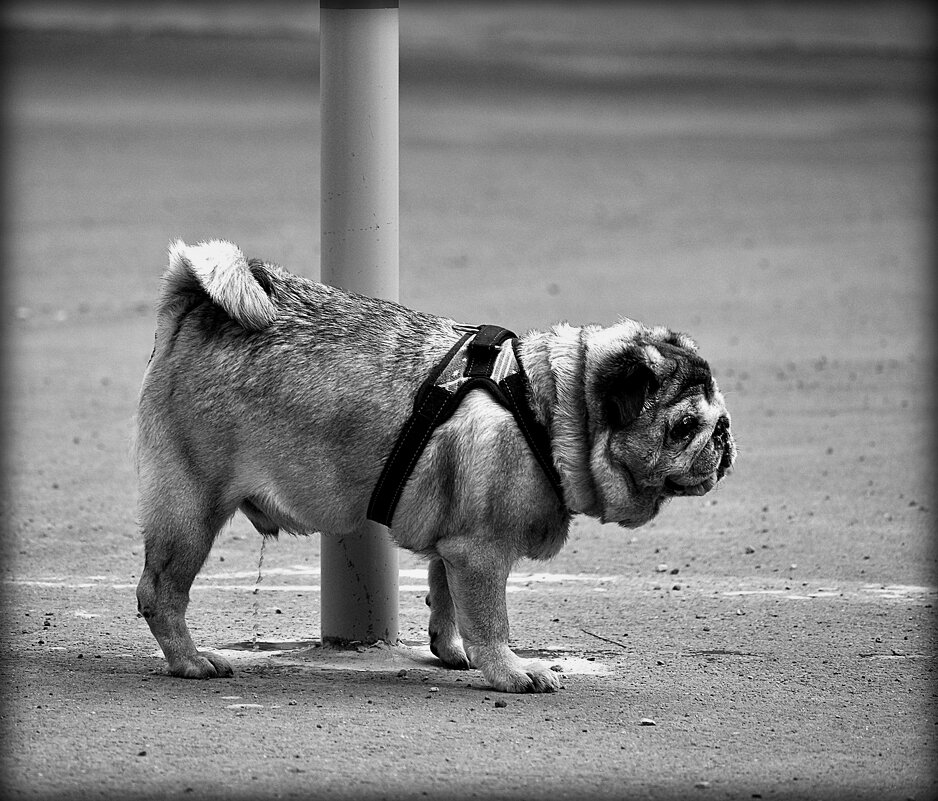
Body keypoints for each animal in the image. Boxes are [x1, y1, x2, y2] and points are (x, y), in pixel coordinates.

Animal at [133, 239, 732, 692]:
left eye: (719, 417)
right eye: (683, 427)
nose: (723, 439)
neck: (549, 405)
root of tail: (196, 300)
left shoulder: (456, 544)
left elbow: (446, 598)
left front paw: (452, 648)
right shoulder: (482, 551)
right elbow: (490, 618)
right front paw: (509, 670)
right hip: (192, 509)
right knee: (160, 593)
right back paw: (190, 661)